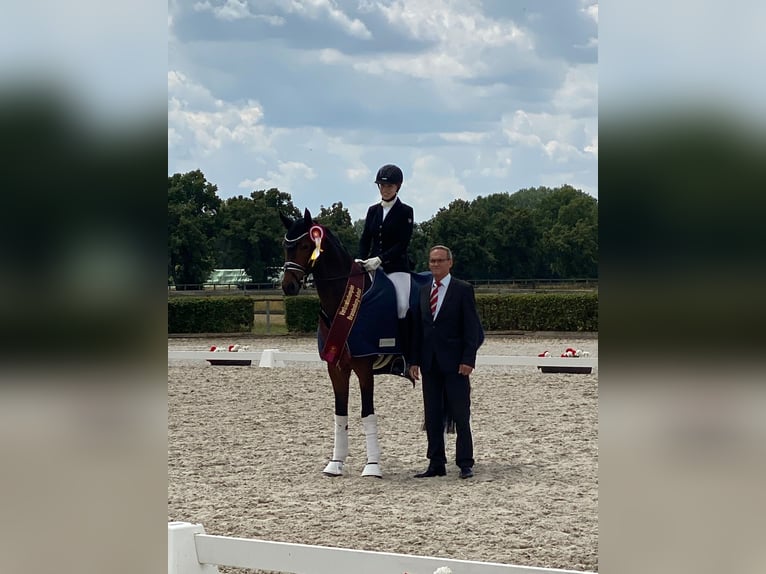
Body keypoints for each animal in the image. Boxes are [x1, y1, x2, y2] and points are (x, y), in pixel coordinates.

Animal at [280, 209, 390, 480]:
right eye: (285, 246)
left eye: (306, 245)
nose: (288, 286)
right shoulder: (336, 368)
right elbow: (340, 414)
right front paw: (335, 463)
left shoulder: (364, 368)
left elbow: (367, 413)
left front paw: (372, 466)